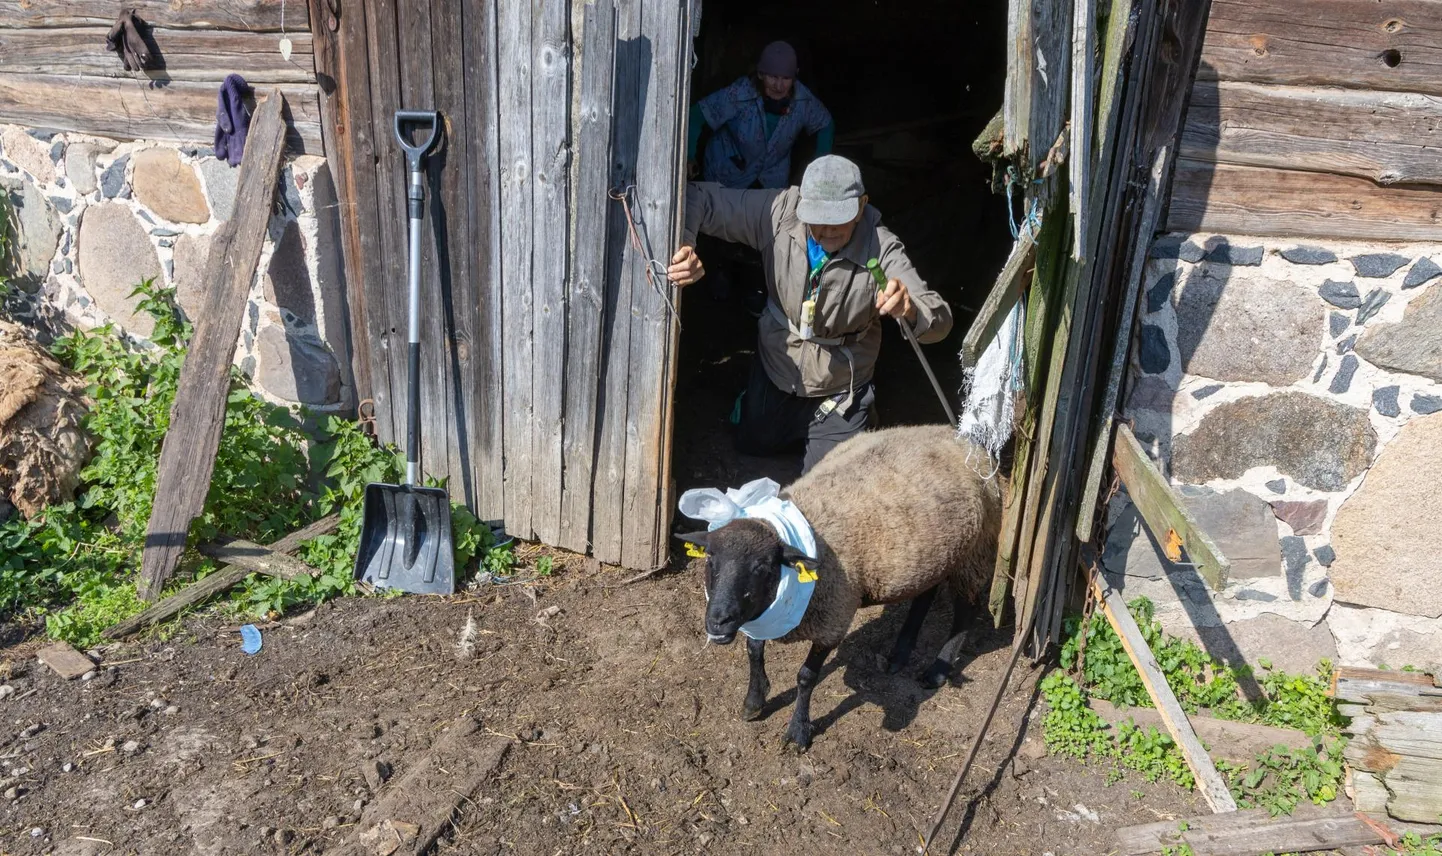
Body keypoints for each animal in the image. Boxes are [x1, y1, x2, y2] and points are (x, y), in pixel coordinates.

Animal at [677, 420, 1003, 749]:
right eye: (710, 561)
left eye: (762, 566)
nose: (718, 621)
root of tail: (959, 436)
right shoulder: (761, 613)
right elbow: (753, 650)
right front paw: (754, 702)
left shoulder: (832, 619)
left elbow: (806, 677)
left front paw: (798, 732)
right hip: (934, 557)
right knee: (924, 596)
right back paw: (898, 655)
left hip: (975, 551)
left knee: (967, 609)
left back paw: (937, 670)